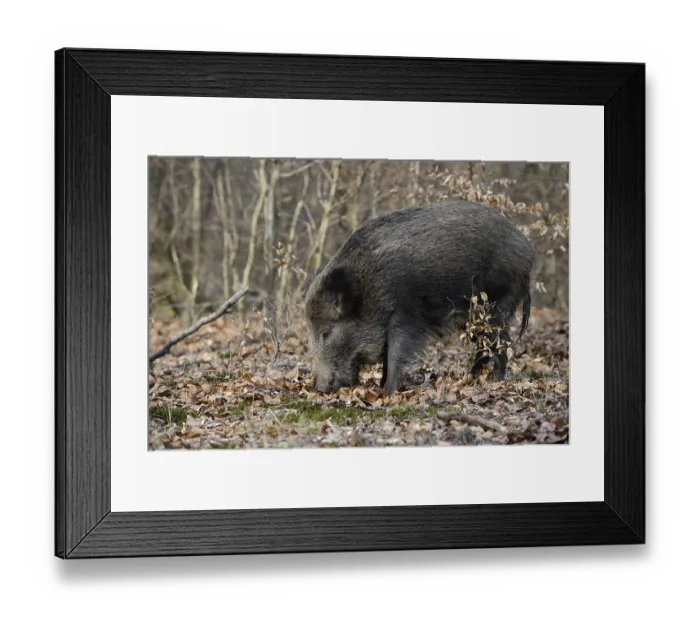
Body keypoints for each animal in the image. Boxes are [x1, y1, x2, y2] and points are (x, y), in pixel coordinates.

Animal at [304, 201, 536, 394]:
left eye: (326, 332)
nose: (321, 388)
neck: (369, 289)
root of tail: (529, 253)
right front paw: (382, 386)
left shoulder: (407, 315)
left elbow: (395, 354)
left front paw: (387, 392)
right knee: (484, 345)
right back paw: (469, 377)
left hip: (494, 305)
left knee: (500, 342)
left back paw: (496, 381)